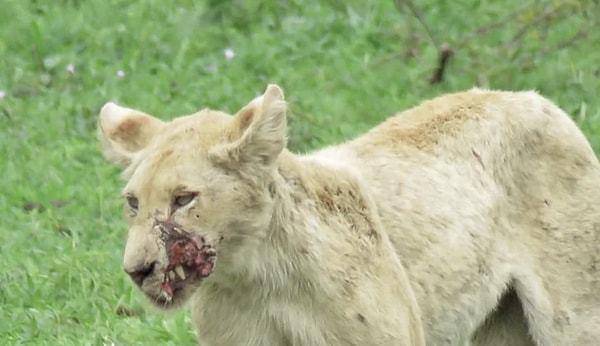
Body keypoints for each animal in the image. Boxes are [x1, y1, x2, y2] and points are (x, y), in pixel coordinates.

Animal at [96, 84, 600, 346]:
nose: (138, 270)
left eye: (184, 199)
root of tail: (532, 97)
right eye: (133, 203)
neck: (258, 276)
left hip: (574, 319)